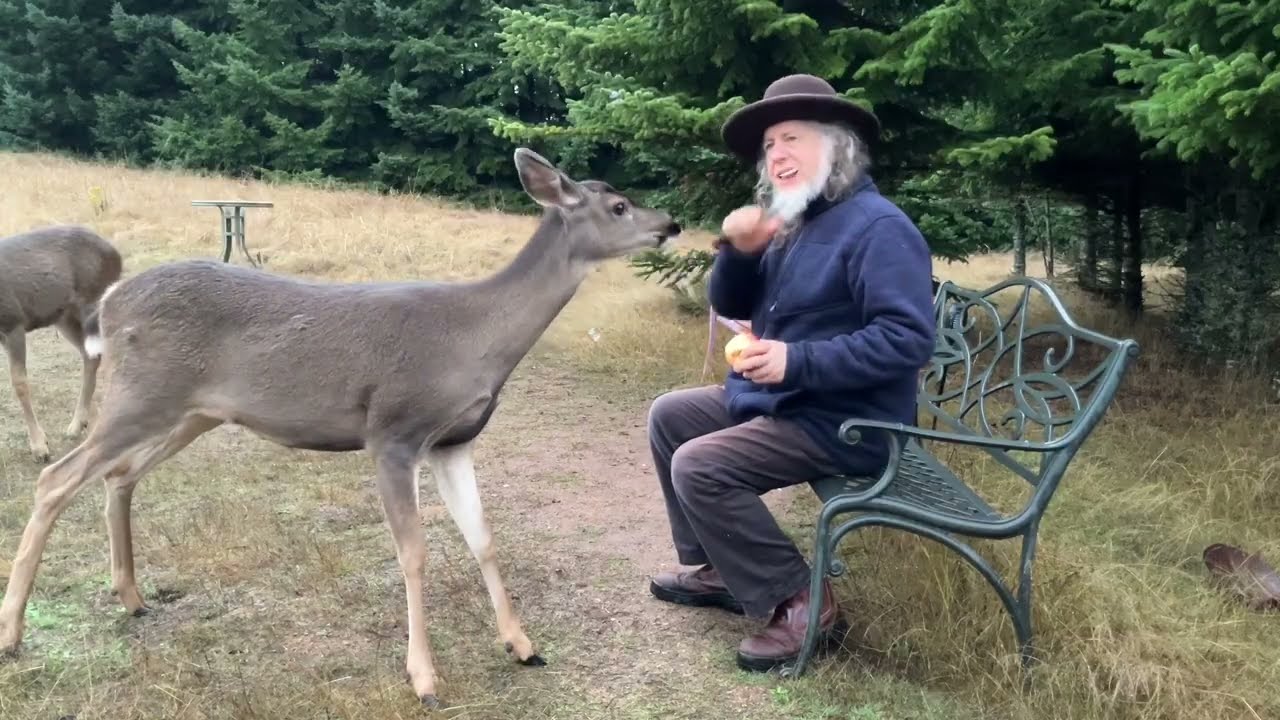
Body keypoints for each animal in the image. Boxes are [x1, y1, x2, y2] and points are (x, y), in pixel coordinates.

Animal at [0, 225, 122, 462]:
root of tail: (117, 254)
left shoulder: (14, 322)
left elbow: (20, 384)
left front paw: (40, 447)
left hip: (93, 304)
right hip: (64, 317)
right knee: (90, 356)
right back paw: (77, 424)